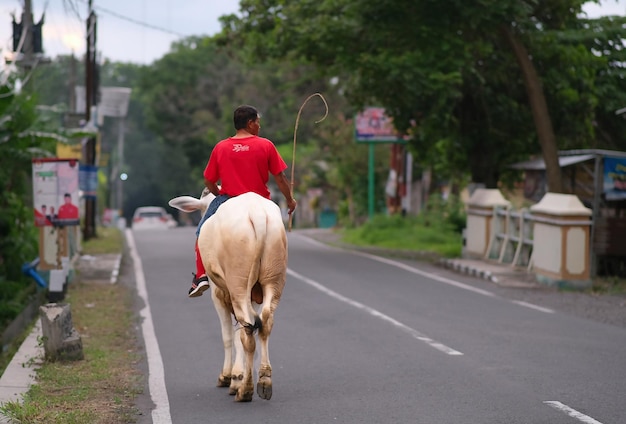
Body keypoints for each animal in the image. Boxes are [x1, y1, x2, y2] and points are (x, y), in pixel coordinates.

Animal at [171, 190, 288, 400]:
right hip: (272, 279)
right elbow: (238, 335)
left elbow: (227, 336)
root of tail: (257, 214)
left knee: (247, 329)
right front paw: (236, 376)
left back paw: (245, 390)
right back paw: (263, 381)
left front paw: (229, 377)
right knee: (263, 323)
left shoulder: (218, 295)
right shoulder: (252, 297)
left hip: (238, 283)